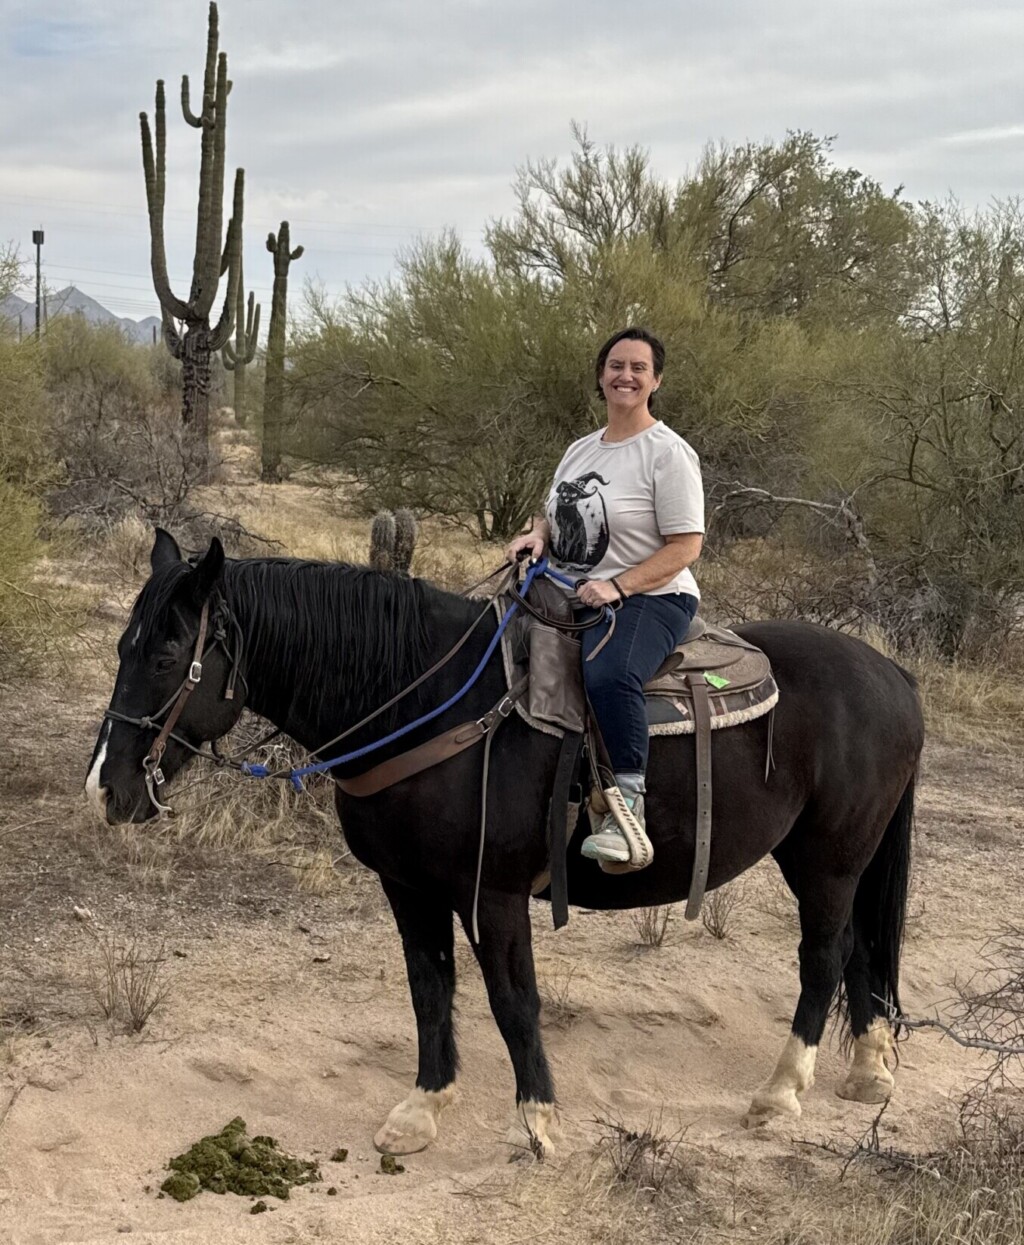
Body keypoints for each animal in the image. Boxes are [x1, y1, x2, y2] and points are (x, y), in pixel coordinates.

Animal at [86, 529, 923, 1156]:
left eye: (167, 656)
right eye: (123, 647)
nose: (106, 785)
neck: (428, 705)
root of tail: (892, 671)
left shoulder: (492, 893)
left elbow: (513, 999)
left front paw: (538, 1122)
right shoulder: (408, 885)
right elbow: (430, 990)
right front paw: (422, 1109)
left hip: (829, 858)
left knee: (823, 956)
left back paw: (780, 1093)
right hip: (834, 858)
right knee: (859, 950)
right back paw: (868, 1071)